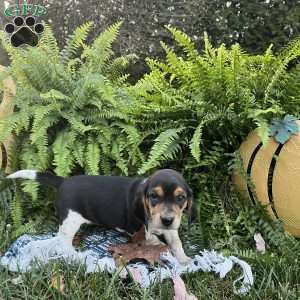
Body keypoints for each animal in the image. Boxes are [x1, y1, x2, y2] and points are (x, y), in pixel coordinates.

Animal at [8, 169, 195, 264]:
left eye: (180, 198)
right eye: (154, 196)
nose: (167, 219)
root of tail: (63, 181)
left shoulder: (170, 229)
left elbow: (176, 242)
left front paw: (184, 259)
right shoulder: (141, 232)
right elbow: (157, 242)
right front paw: (166, 251)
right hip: (71, 221)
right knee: (63, 244)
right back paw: (77, 257)